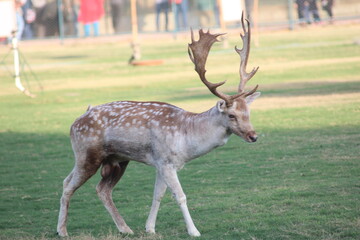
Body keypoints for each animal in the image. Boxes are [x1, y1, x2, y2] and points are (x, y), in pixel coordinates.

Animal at [56, 15, 260, 238]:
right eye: (232, 115)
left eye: (248, 113)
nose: (253, 136)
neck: (187, 139)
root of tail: (75, 122)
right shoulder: (165, 160)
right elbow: (180, 195)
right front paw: (194, 231)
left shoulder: (161, 163)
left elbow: (158, 195)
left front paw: (150, 228)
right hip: (87, 153)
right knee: (67, 185)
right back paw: (62, 230)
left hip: (117, 159)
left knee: (100, 189)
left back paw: (125, 228)